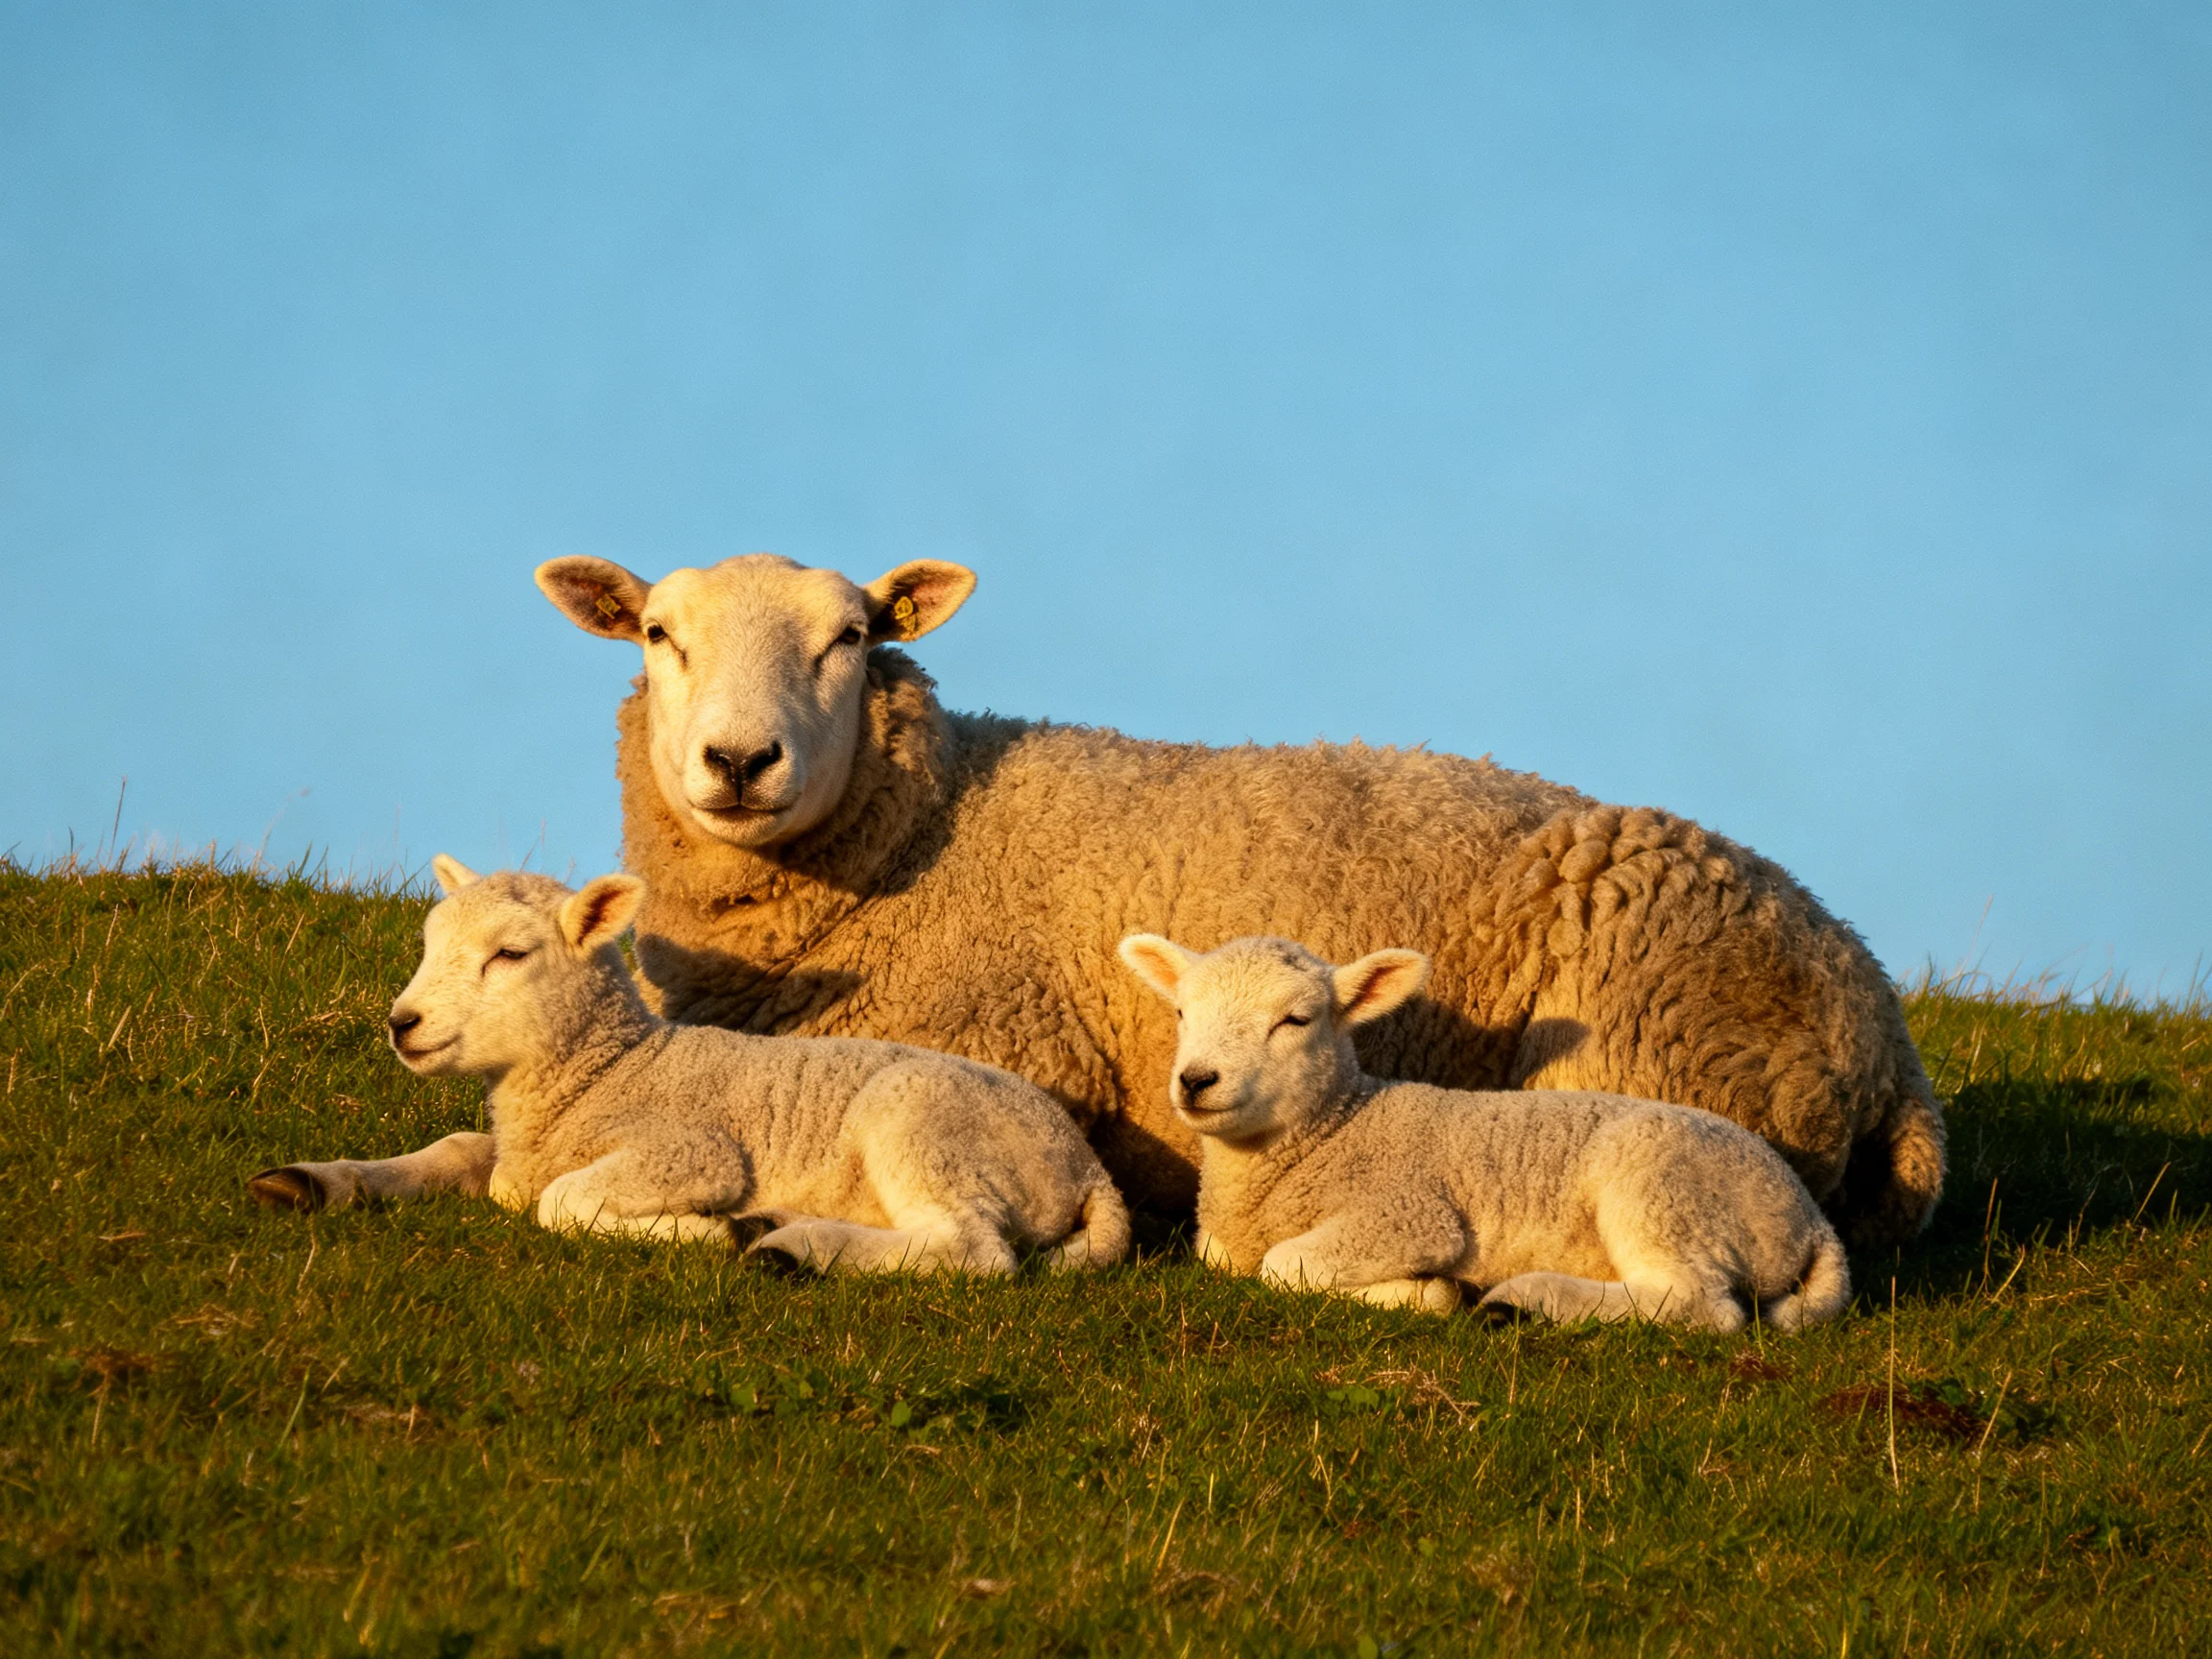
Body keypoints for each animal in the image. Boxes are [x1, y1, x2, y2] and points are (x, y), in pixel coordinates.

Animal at [246, 858, 1131, 1276]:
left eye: (511, 954)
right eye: (431, 943)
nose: (404, 1024)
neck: (608, 1071)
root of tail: (1089, 1172)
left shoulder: (690, 1149)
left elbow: (562, 1203)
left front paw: (706, 1230)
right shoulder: (519, 1150)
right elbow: (459, 1152)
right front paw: (317, 1179)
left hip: (924, 1119)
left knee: (973, 1250)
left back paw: (785, 1247)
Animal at [346, 551, 1944, 1245]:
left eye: (852, 635)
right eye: (659, 634)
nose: (739, 763)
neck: (925, 832)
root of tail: (1888, 1029)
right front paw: (359, 1174)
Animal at [1118, 932, 1852, 1331]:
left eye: (1295, 1020)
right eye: (1180, 1012)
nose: (1196, 1080)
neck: (1335, 1130)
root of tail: (1813, 1222)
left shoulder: (1409, 1214)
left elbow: (1285, 1264)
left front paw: (1428, 1292)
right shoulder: (1224, 1241)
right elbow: (1229, 1258)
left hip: (1663, 1186)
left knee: (1697, 1303)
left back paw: (1526, 1299)